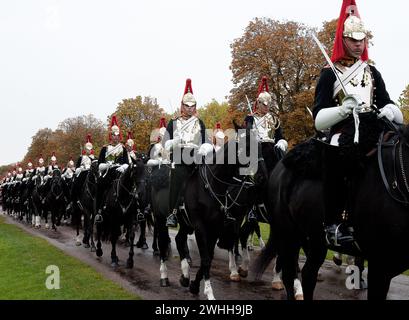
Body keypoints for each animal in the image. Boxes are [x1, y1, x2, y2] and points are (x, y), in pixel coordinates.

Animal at [253, 125, 408, 300]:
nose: (260, 177)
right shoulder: (380, 266)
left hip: (314, 237)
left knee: (308, 273)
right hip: (289, 232)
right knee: (289, 272)